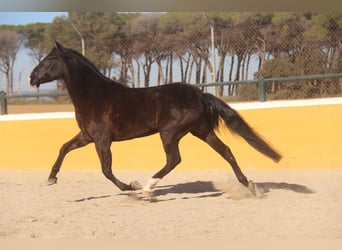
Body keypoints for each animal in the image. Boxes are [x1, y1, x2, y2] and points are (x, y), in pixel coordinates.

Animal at [29, 41, 280, 195]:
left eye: (49, 60)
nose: (32, 77)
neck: (94, 95)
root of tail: (199, 94)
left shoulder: (102, 139)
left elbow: (106, 170)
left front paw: (131, 186)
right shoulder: (87, 136)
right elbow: (64, 148)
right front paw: (51, 178)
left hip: (169, 133)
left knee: (174, 159)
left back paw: (148, 188)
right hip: (202, 131)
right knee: (226, 151)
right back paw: (249, 186)